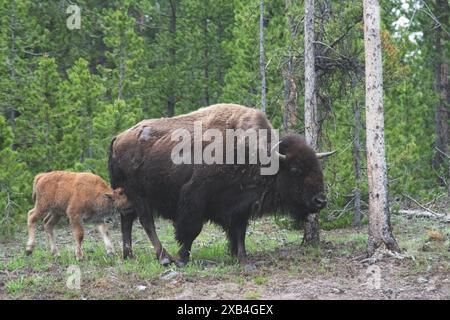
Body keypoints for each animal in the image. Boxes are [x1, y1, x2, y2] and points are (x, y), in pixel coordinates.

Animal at [109, 103, 334, 264]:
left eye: (318, 168)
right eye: (296, 170)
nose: (320, 201)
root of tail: (118, 137)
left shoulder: (241, 206)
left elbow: (239, 232)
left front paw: (242, 257)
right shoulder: (195, 198)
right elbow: (192, 230)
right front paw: (183, 258)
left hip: (128, 195)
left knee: (127, 220)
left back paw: (129, 256)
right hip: (139, 194)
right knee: (146, 221)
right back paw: (164, 257)